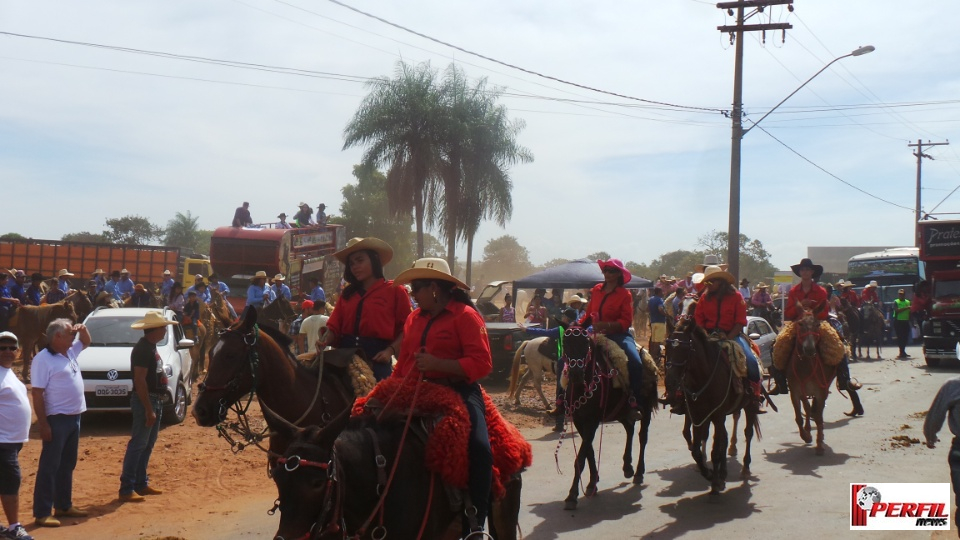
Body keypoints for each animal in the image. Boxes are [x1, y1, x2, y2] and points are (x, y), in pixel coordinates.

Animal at [560, 326, 656, 508]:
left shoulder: (592, 422)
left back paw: (638, 472)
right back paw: (627, 466)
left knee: (643, 437)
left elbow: (580, 458)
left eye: (585, 343)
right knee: (630, 429)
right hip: (621, 412)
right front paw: (592, 483)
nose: (576, 374)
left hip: (646, 410)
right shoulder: (580, 421)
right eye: (565, 343)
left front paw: (572, 495)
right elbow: (589, 452)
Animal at [664, 318, 760, 496]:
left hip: (750, 405)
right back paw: (723, 470)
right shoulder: (698, 415)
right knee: (724, 437)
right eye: (667, 347)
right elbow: (696, 449)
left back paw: (745, 468)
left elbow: (715, 450)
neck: (703, 376)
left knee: (748, 433)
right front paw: (709, 473)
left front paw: (715, 481)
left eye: (685, 349)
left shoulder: (717, 414)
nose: (670, 381)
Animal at [788, 312, 840, 456]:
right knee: (807, 408)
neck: (806, 365)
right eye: (800, 324)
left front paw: (819, 445)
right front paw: (806, 436)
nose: (810, 348)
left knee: (815, 411)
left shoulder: (821, 391)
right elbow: (799, 416)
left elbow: (818, 417)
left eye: (818, 324)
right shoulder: (795, 391)